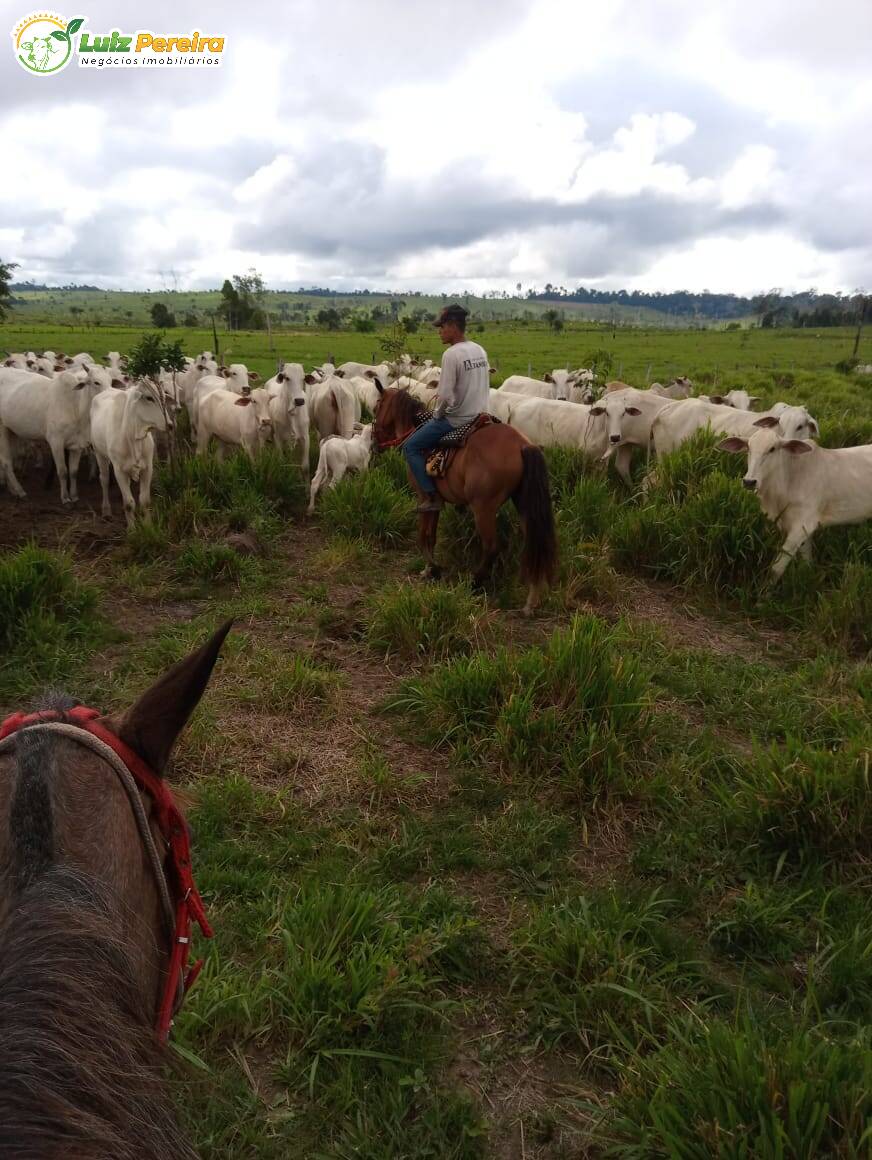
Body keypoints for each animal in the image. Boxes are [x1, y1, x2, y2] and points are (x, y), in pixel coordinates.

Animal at [90, 380, 170, 526]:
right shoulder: (119, 471)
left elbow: (145, 501)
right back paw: (106, 510)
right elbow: (128, 504)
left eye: (164, 399)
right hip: (100, 454)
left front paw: (148, 526)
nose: (170, 425)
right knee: (104, 479)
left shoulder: (147, 468)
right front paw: (132, 529)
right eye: (149, 398)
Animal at [371, 387, 554, 617]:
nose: (374, 444)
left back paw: (474, 582)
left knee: (492, 546)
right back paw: (531, 600)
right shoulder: (437, 502)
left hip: (483, 508)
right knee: (533, 546)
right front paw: (430, 569)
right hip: (524, 506)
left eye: (376, 407)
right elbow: (431, 536)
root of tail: (523, 445)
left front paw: (431, 570)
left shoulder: (424, 498)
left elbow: (423, 536)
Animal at [718, 429, 872, 577]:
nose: (749, 481)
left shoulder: (803, 525)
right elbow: (806, 561)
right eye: (749, 448)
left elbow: (776, 569)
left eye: (772, 449)